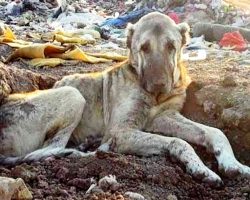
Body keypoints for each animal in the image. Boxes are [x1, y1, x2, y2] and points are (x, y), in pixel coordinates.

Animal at [0, 12, 250, 184]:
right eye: (144, 48)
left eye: (171, 46)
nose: (159, 85)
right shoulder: (121, 132)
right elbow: (178, 142)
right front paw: (202, 169)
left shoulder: (164, 116)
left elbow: (214, 131)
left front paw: (233, 164)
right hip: (73, 94)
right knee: (46, 150)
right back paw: (86, 150)